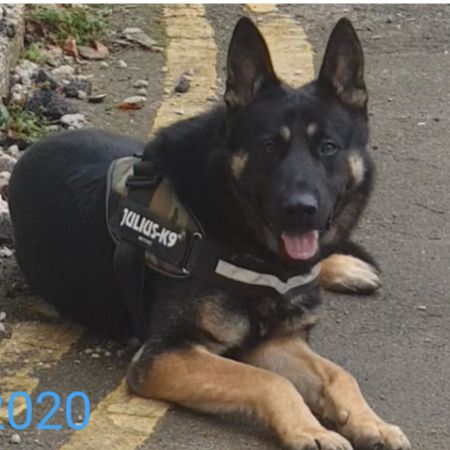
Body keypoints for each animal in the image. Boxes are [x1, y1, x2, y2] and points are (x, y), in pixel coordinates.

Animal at [8, 17, 410, 450]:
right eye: (269, 147)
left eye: (329, 147)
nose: (301, 210)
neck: (231, 230)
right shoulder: (165, 356)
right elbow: (270, 381)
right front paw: (312, 430)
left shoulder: (275, 342)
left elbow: (339, 374)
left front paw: (373, 423)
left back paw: (344, 268)